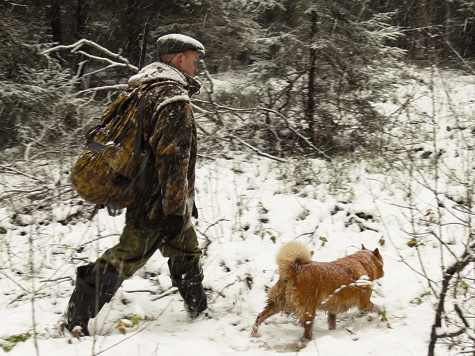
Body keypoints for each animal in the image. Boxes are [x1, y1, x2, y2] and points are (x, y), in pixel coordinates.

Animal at [251, 242, 384, 340]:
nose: (383, 273)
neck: (363, 262)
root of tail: (295, 268)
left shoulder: (333, 310)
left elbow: (332, 322)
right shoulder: (364, 303)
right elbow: (377, 308)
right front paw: (383, 316)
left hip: (276, 304)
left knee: (260, 317)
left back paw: (254, 333)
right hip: (308, 311)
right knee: (306, 331)